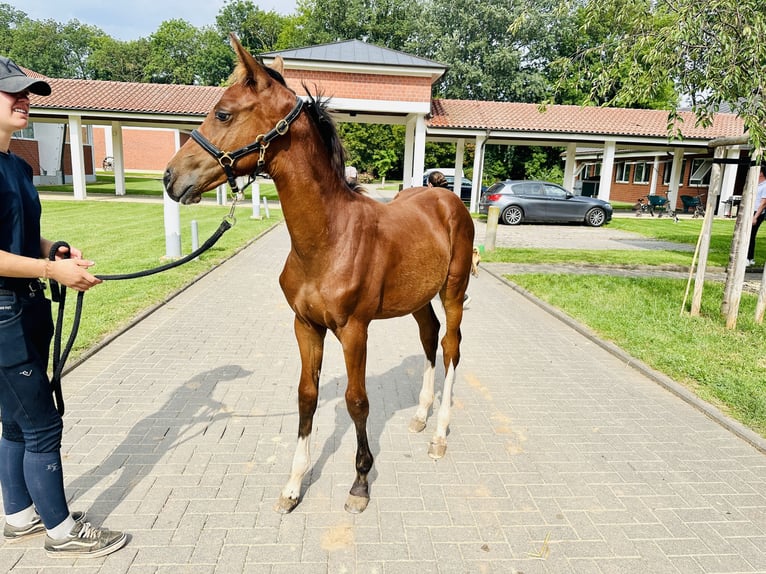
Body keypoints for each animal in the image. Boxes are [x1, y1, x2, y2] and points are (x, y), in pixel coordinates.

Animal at [164, 33, 474, 516]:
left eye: (223, 112)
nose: (170, 178)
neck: (328, 239)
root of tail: (446, 196)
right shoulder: (305, 325)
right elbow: (306, 396)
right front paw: (293, 485)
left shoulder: (354, 330)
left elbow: (357, 401)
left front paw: (360, 484)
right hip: (418, 298)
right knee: (429, 337)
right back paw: (421, 416)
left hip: (454, 291)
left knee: (451, 348)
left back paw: (440, 434)